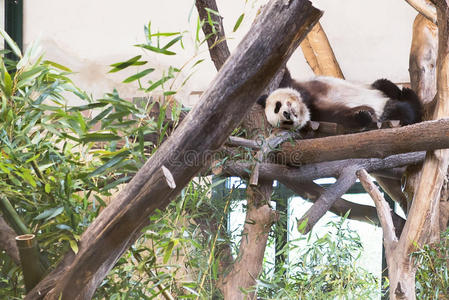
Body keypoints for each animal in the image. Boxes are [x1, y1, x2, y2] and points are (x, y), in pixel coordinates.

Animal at [258, 71, 422, 131]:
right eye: (286, 123)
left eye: (277, 106)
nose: (286, 114)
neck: (307, 103)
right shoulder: (320, 114)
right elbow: (340, 115)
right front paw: (362, 115)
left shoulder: (295, 84)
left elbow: (283, 74)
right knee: (401, 110)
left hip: (377, 89)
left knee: (385, 85)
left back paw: (405, 92)